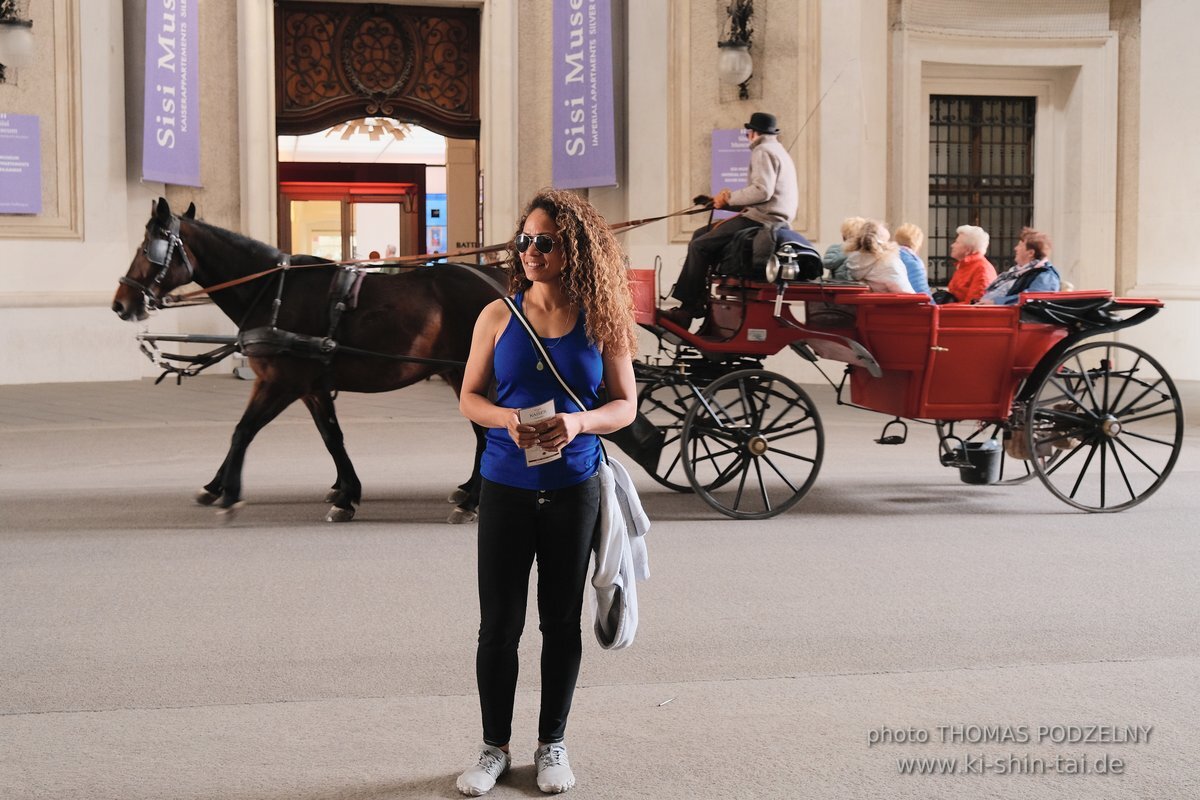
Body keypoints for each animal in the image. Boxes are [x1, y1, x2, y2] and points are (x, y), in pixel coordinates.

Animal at [110, 199, 504, 522]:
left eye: (146, 248)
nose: (120, 304)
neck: (272, 292)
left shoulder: (282, 382)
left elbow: (244, 430)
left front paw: (230, 493)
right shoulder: (306, 387)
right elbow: (331, 437)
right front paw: (347, 492)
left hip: (466, 375)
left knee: (487, 434)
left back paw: (471, 501)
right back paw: (469, 491)